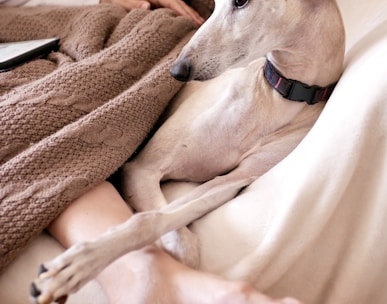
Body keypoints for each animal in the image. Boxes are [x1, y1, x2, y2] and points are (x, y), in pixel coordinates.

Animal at [30, 0, 346, 302]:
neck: (274, 97)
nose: (177, 71)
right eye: (214, 5)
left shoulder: (236, 179)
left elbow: (168, 226)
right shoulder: (142, 168)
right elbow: (160, 227)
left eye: (241, 1)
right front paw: (74, 266)